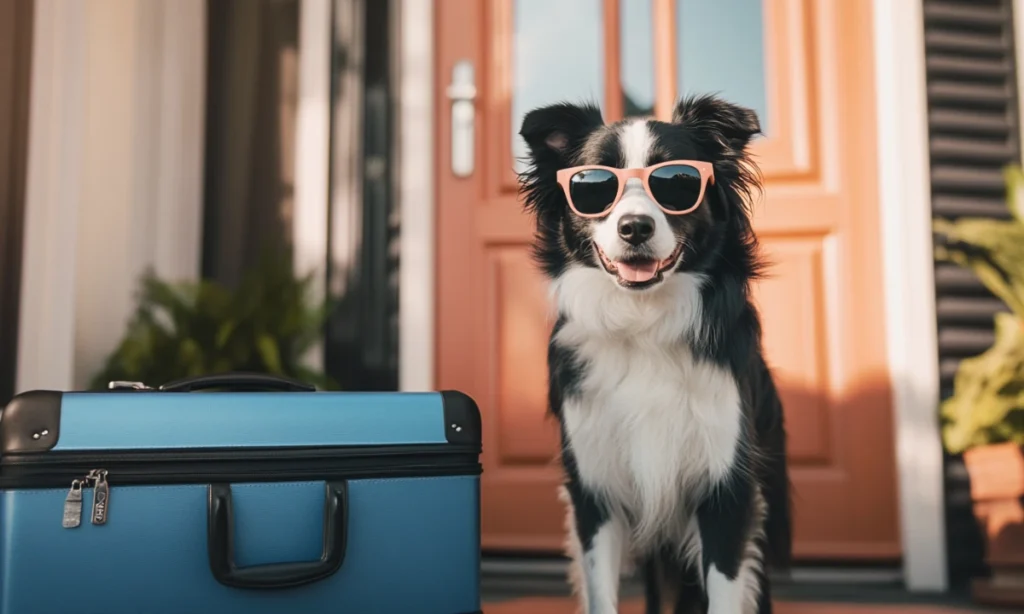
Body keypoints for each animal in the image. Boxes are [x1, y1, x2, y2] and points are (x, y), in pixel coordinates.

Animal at [520, 92, 790, 614]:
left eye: (678, 183)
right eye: (593, 186)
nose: (634, 228)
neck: (641, 322)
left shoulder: (728, 492)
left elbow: (725, 593)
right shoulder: (595, 493)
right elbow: (600, 595)